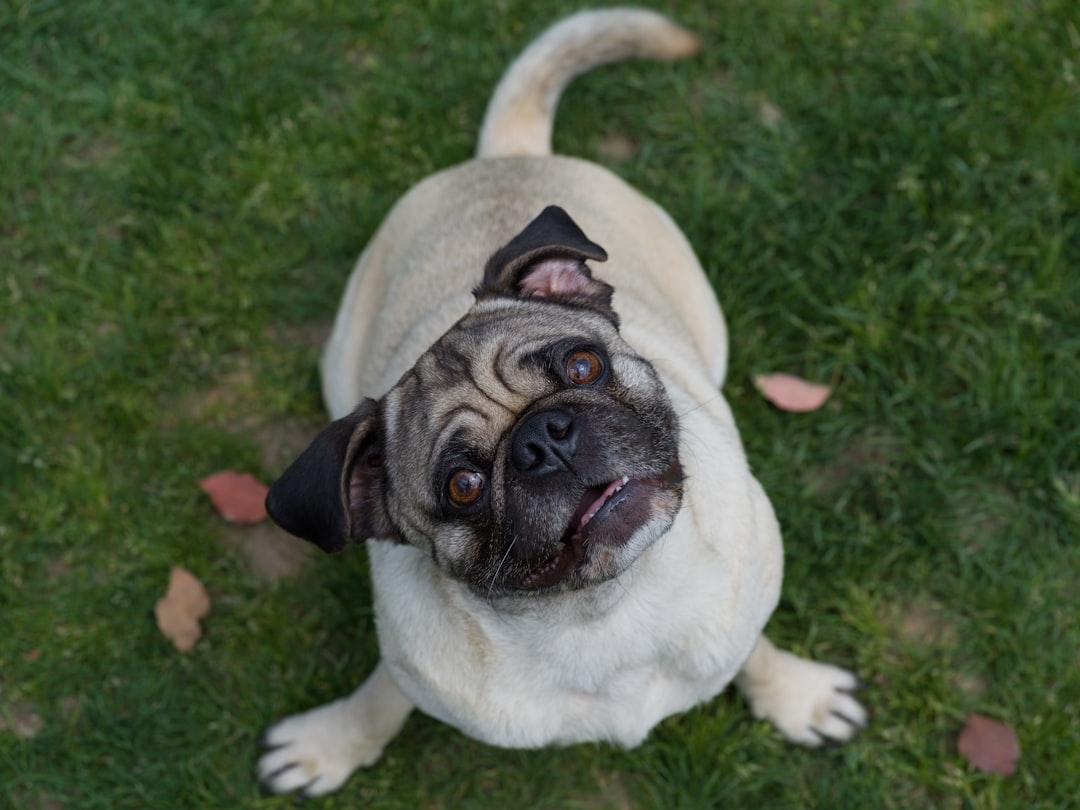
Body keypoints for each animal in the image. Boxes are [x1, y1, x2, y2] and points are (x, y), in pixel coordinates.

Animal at [257, 9, 864, 799]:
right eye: (463, 485)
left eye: (583, 364)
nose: (543, 438)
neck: (603, 612)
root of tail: (504, 155)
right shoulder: (410, 667)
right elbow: (384, 692)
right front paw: (331, 742)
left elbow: (752, 646)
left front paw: (795, 694)